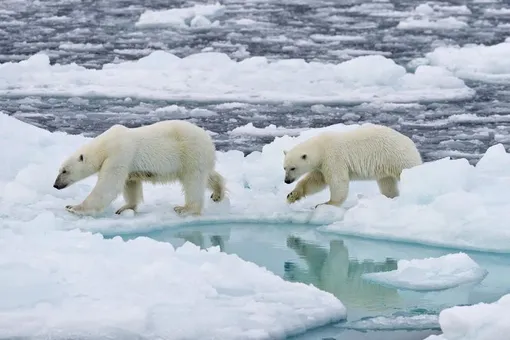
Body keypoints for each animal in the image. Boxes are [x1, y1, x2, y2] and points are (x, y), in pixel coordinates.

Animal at [52, 120, 226, 215]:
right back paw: (218, 193)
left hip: (190, 152)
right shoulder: (127, 163)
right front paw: (124, 208)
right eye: (59, 170)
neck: (105, 145)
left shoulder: (119, 153)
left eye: (64, 171)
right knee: (208, 175)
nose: (55, 185)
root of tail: (208, 139)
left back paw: (185, 208)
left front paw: (73, 207)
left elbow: (108, 185)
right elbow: (130, 184)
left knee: (193, 182)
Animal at [282, 124, 422, 209]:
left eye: (293, 168)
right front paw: (292, 195)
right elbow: (315, 181)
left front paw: (326, 203)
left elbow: (338, 181)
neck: (320, 147)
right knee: (387, 183)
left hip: (397, 158)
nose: (286, 181)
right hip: (386, 166)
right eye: (284, 167)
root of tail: (410, 143)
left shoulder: (333, 158)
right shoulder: (321, 165)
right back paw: (391, 197)